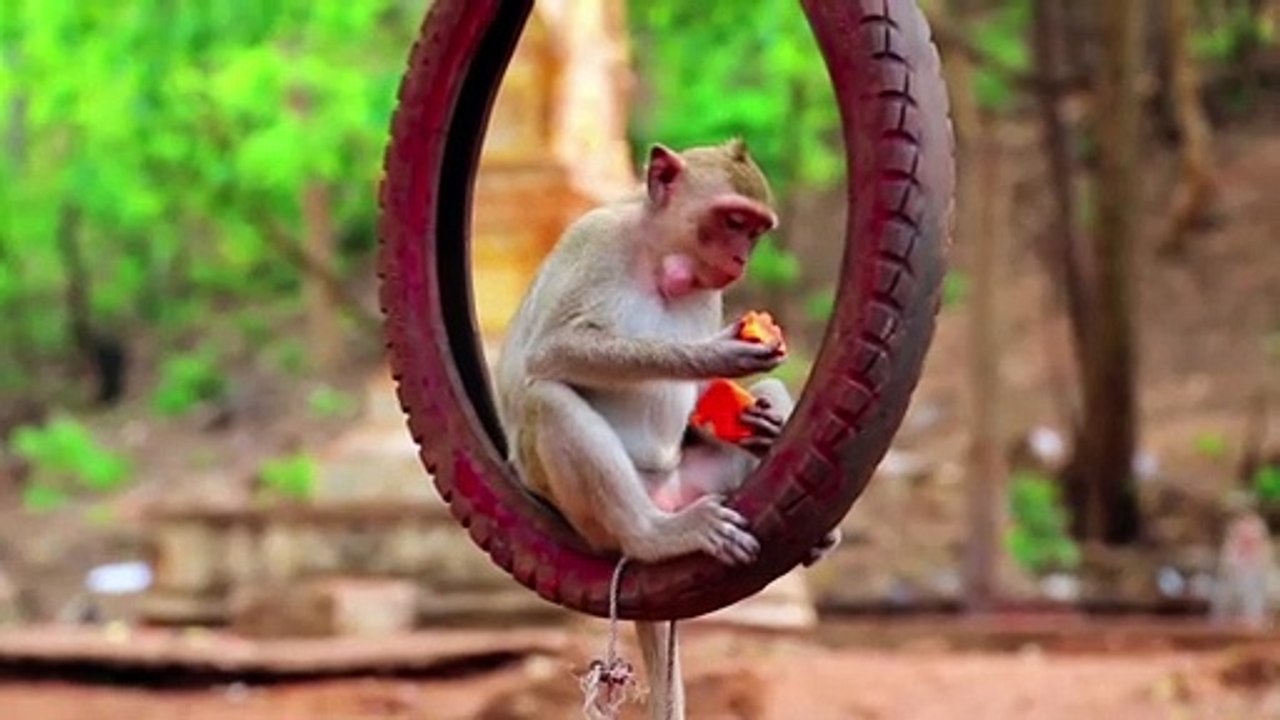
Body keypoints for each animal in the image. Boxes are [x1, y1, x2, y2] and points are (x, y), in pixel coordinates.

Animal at [494, 139, 840, 720]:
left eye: (755, 229)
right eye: (733, 220)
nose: (741, 259)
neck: (656, 258)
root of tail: (670, 498)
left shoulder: (706, 291)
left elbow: (718, 399)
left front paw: (764, 421)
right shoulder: (595, 242)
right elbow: (551, 352)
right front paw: (715, 353)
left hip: (703, 482)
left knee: (768, 397)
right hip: (593, 521)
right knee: (549, 401)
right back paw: (655, 535)